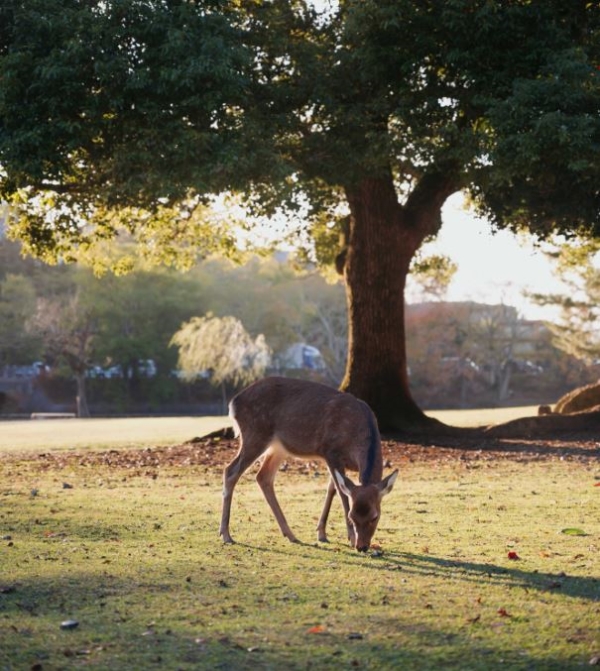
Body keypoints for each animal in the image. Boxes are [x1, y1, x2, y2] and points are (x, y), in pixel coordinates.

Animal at [220, 376, 398, 552]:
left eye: (375, 516)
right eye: (351, 517)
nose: (362, 547)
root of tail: (233, 403)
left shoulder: (336, 460)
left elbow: (332, 489)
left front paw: (321, 533)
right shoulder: (331, 452)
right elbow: (341, 494)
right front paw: (351, 538)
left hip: (278, 447)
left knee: (263, 476)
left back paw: (290, 534)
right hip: (255, 434)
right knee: (231, 471)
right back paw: (226, 534)